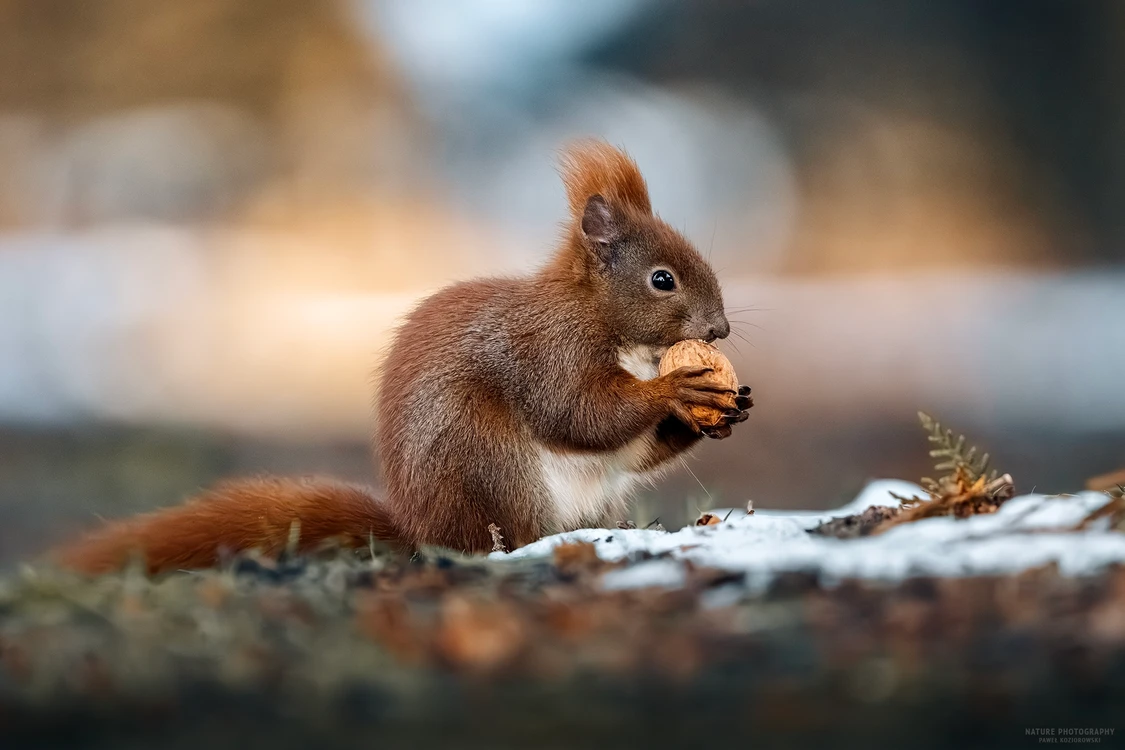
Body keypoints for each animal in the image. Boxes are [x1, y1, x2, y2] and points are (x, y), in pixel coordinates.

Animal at [54, 140, 756, 575]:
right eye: (662, 280)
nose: (720, 329)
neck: (612, 329)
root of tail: (422, 531)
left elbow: (633, 448)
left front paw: (721, 411)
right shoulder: (545, 351)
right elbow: (576, 413)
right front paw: (676, 392)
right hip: (489, 461)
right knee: (508, 534)